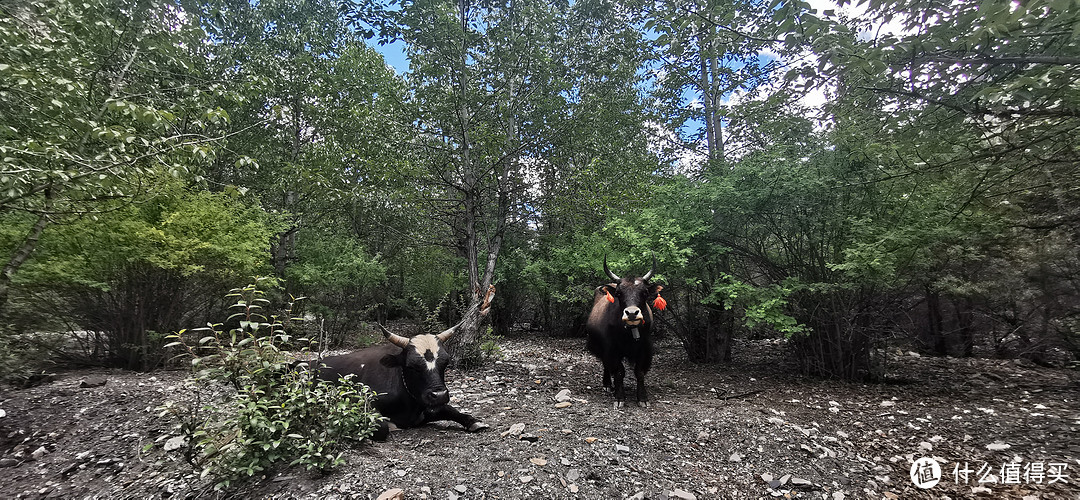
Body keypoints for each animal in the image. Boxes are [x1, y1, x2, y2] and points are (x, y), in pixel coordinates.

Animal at [313, 287, 496, 440]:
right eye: (411, 367)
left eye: (445, 362)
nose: (439, 395)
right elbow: (382, 427)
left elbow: (451, 409)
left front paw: (474, 421)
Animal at [587, 258, 660, 406]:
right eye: (619, 293)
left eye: (644, 293)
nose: (632, 313)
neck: (629, 332)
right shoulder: (611, 349)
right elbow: (619, 372)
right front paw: (620, 397)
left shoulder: (645, 349)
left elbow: (639, 372)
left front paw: (642, 398)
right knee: (606, 365)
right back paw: (608, 385)